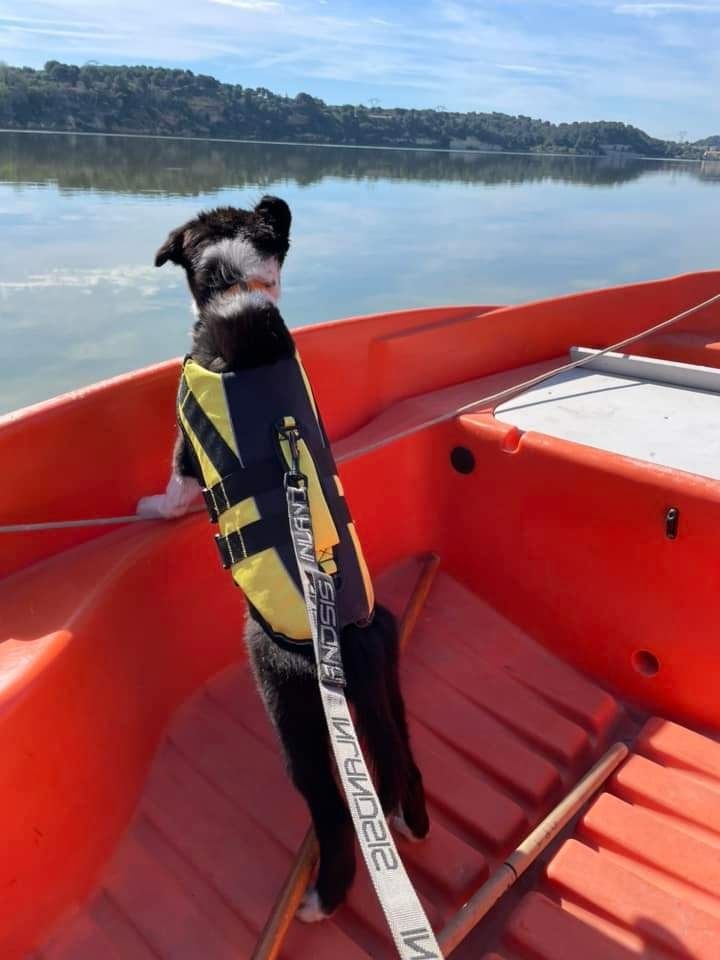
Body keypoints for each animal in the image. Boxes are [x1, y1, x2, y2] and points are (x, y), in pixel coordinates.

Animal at [139, 197, 428, 924]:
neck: (236, 287)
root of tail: (347, 641)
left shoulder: (184, 438)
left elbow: (175, 480)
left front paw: (153, 508)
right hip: (389, 672)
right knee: (403, 754)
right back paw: (409, 822)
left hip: (288, 703)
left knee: (331, 811)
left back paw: (323, 898)